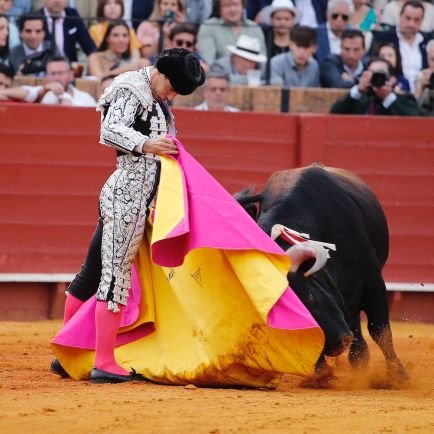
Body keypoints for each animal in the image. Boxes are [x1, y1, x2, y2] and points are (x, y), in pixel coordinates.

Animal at [236, 164, 408, 388]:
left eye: (311, 294)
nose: (339, 343)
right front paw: (321, 375)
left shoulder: (373, 281)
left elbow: (379, 329)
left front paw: (398, 376)